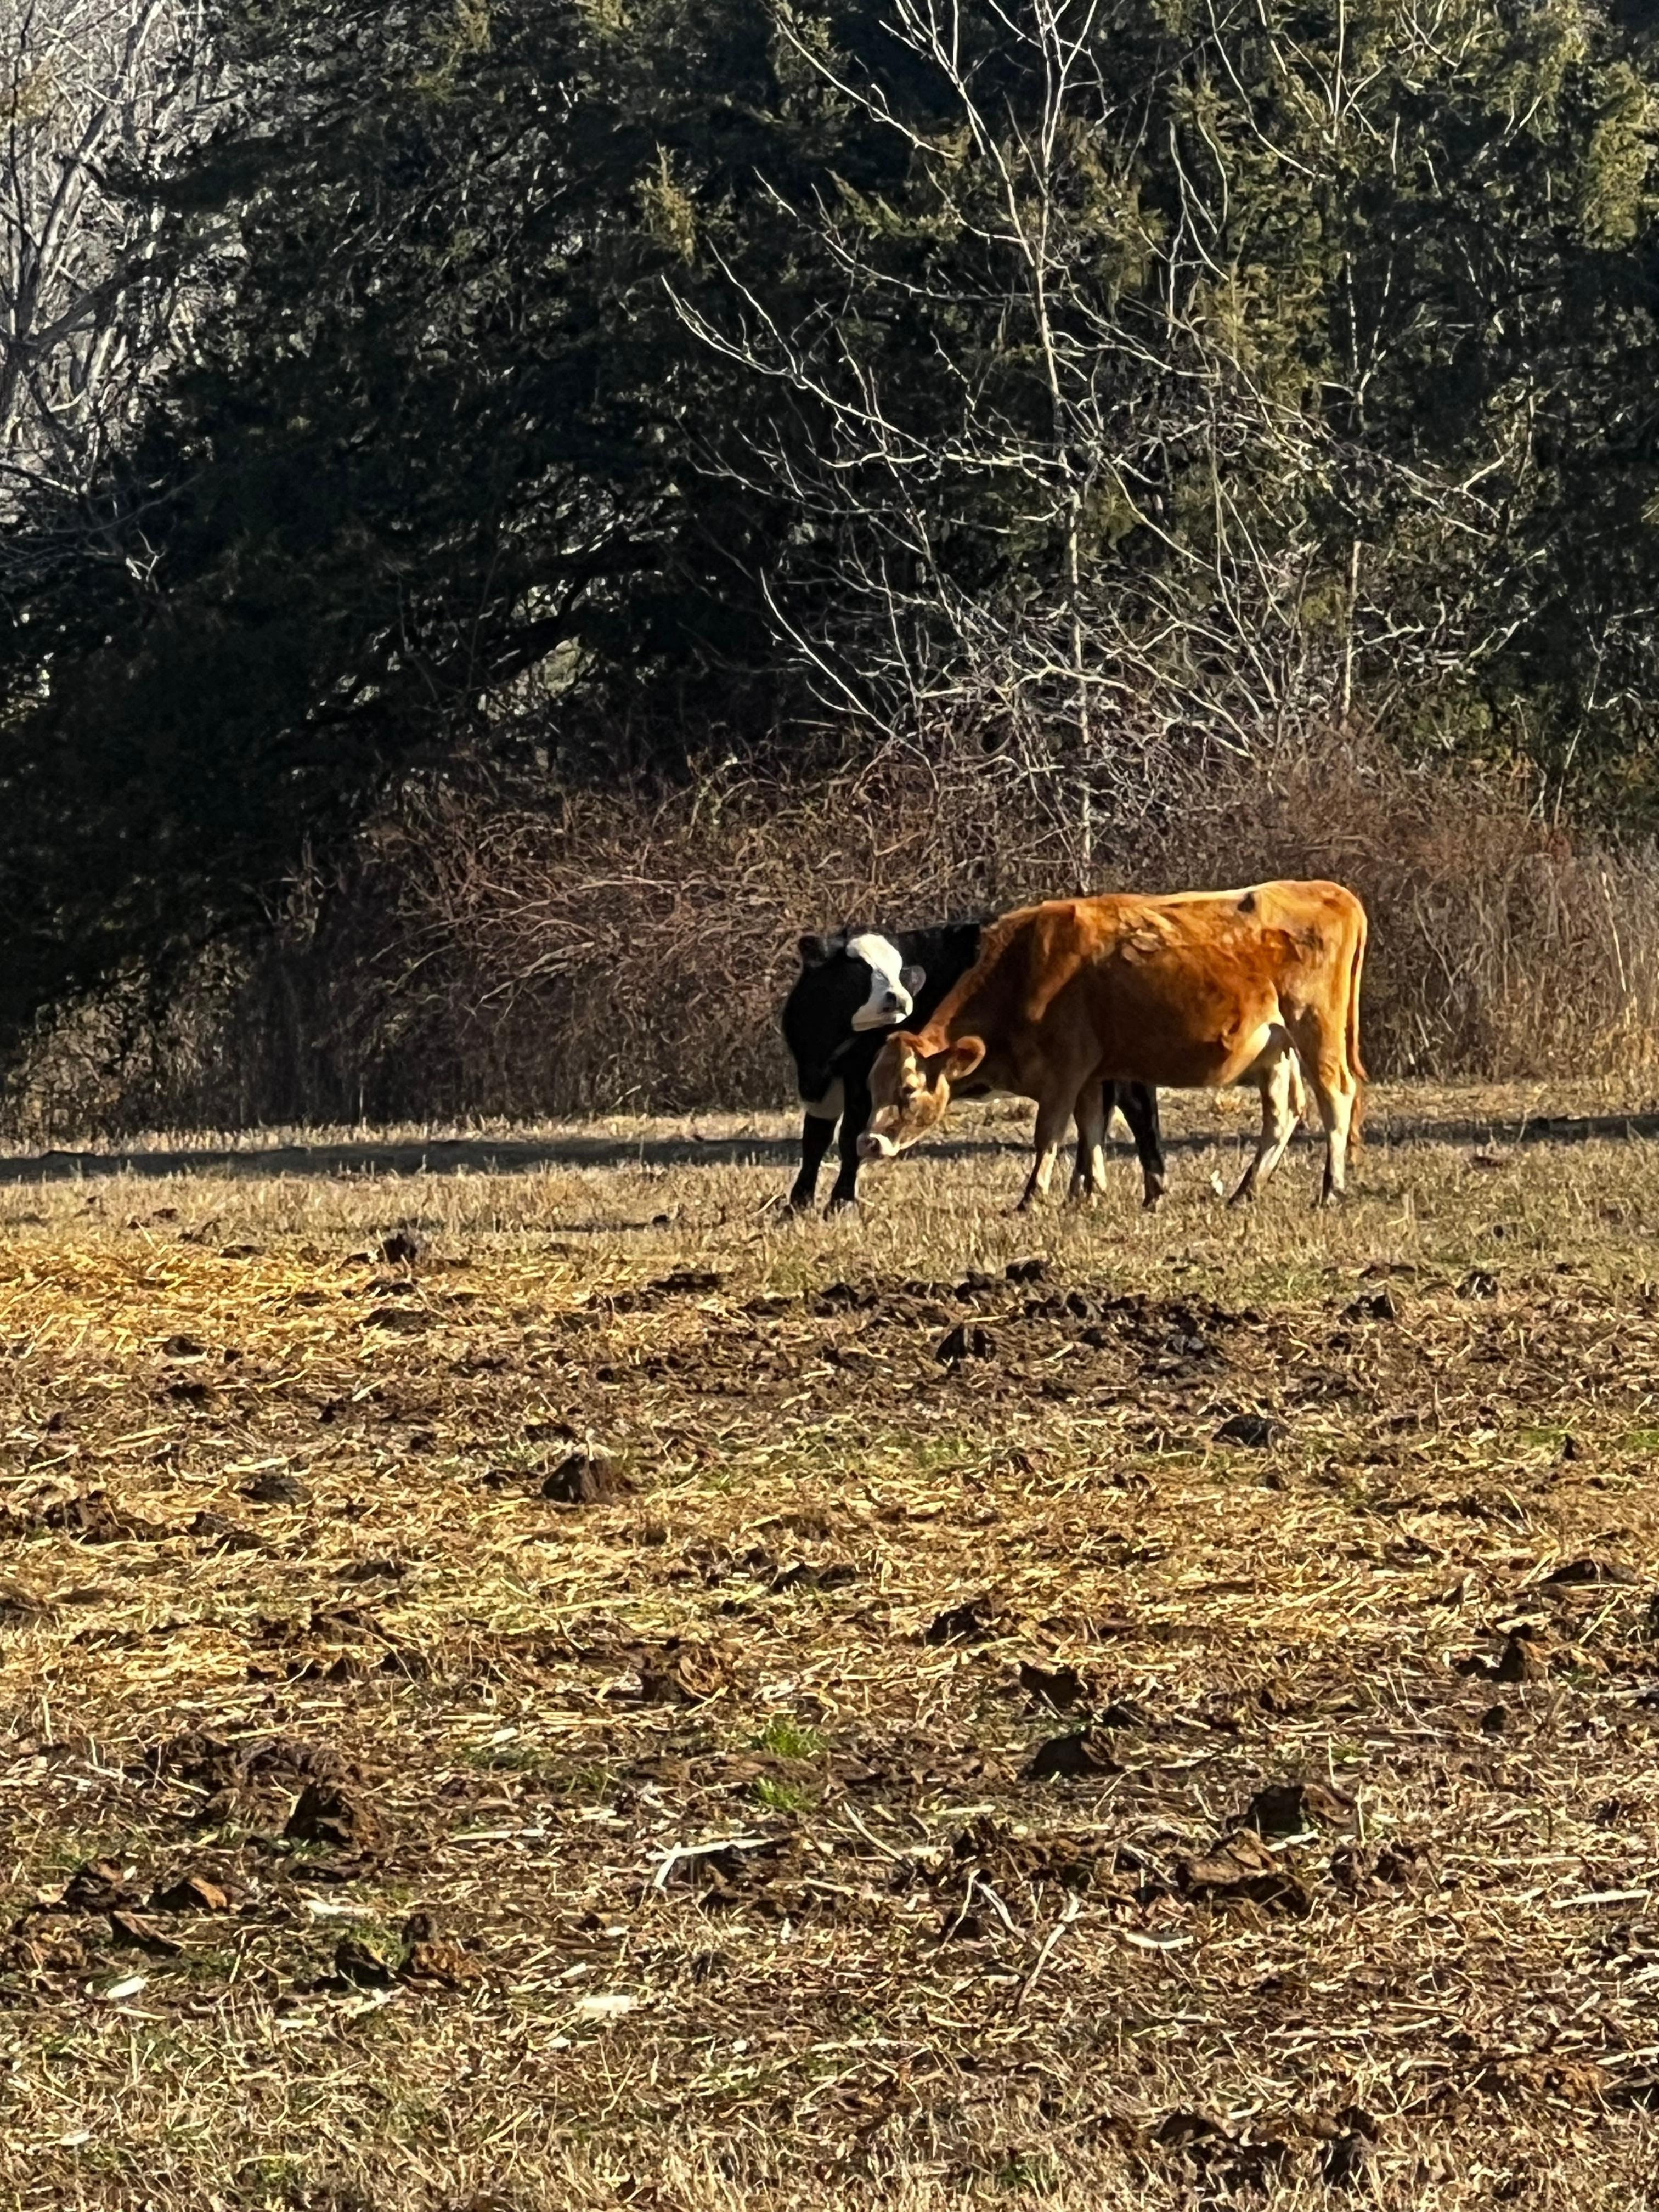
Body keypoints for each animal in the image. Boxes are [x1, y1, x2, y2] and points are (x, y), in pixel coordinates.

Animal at [782, 923, 1165, 1214]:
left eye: (899, 972)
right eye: (860, 970)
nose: (898, 998)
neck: (826, 1049)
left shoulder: (862, 1082)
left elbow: (850, 1139)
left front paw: (840, 1203)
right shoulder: (820, 1089)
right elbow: (814, 1140)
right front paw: (796, 1205)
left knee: (1139, 1113)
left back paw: (1152, 1192)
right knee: (1097, 1118)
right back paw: (1082, 1193)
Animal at [858, 880, 1367, 1212]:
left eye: (907, 1090)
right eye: (871, 1088)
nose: (868, 1142)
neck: (1025, 969)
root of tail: (1333, 891)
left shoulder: (1064, 1071)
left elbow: (1050, 1133)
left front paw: (1033, 1197)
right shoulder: (1091, 1073)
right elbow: (1091, 1129)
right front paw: (1085, 1194)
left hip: (1315, 1027)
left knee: (1336, 1096)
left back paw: (1331, 1189)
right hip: (1274, 1048)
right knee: (1283, 1113)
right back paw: (1246, 1191)